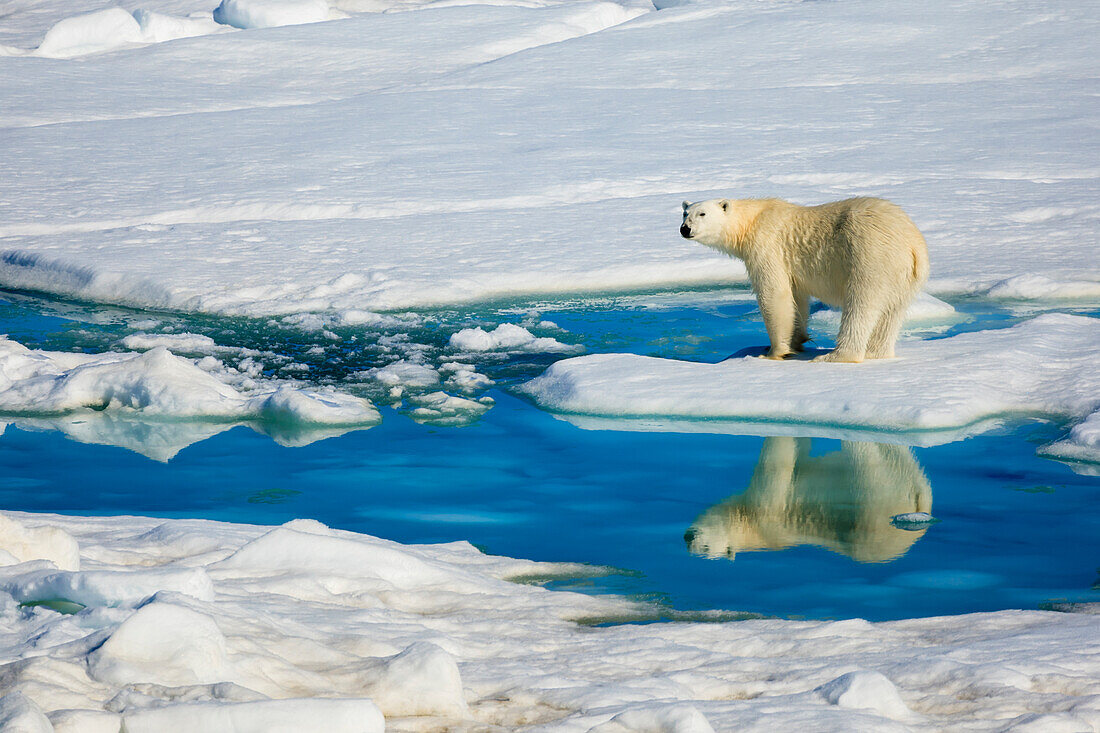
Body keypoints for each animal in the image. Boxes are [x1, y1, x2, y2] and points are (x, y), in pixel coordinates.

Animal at [677, 195, 928, 360]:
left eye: (702, 214)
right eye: (685, 213)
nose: (684, 229)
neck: (751, 221)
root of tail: (913, 244)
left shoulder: (766, 246)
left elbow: (774, 294)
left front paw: (772, 352)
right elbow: (797, 298)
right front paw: (797, 341)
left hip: (870, 255)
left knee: (861, 304)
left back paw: (836, 356)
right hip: (905, 275)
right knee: (893, 311)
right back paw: (877, 353)